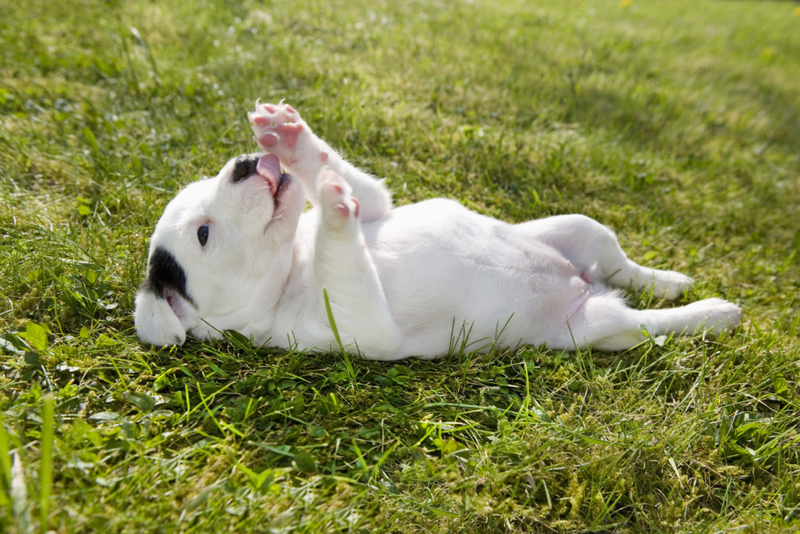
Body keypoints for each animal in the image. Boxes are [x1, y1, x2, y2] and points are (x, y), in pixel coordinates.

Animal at [133, 101, 744, 360]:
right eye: (204, 234)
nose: (242, 165)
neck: (293, 265)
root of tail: (583, 282)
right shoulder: (356, 328)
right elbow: (345, 258)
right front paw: (331, 204)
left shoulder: (379, 208)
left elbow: (361, 191)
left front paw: (293, 140)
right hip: (592, 325)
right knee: (651, 324)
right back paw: (713, 312)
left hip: (580, 227)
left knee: (622, 263)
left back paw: (670, 279)